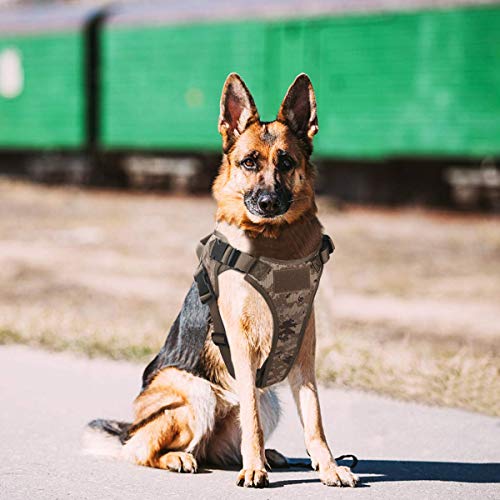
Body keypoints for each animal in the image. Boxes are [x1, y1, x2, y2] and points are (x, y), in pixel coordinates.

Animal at [86, 73, 360, 488]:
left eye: (286, 162)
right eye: (249, 163)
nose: (267, 203)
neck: (274, 242)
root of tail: (130, 427)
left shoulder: (304, 355)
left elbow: (314, 419)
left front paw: (327, 467)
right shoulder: (241, 345)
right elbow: (251, 421)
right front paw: (254, 469)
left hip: (270, 398)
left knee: (218, 447)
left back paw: (267, 456)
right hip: (196, 392)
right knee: (144, 449)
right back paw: (182, 458)